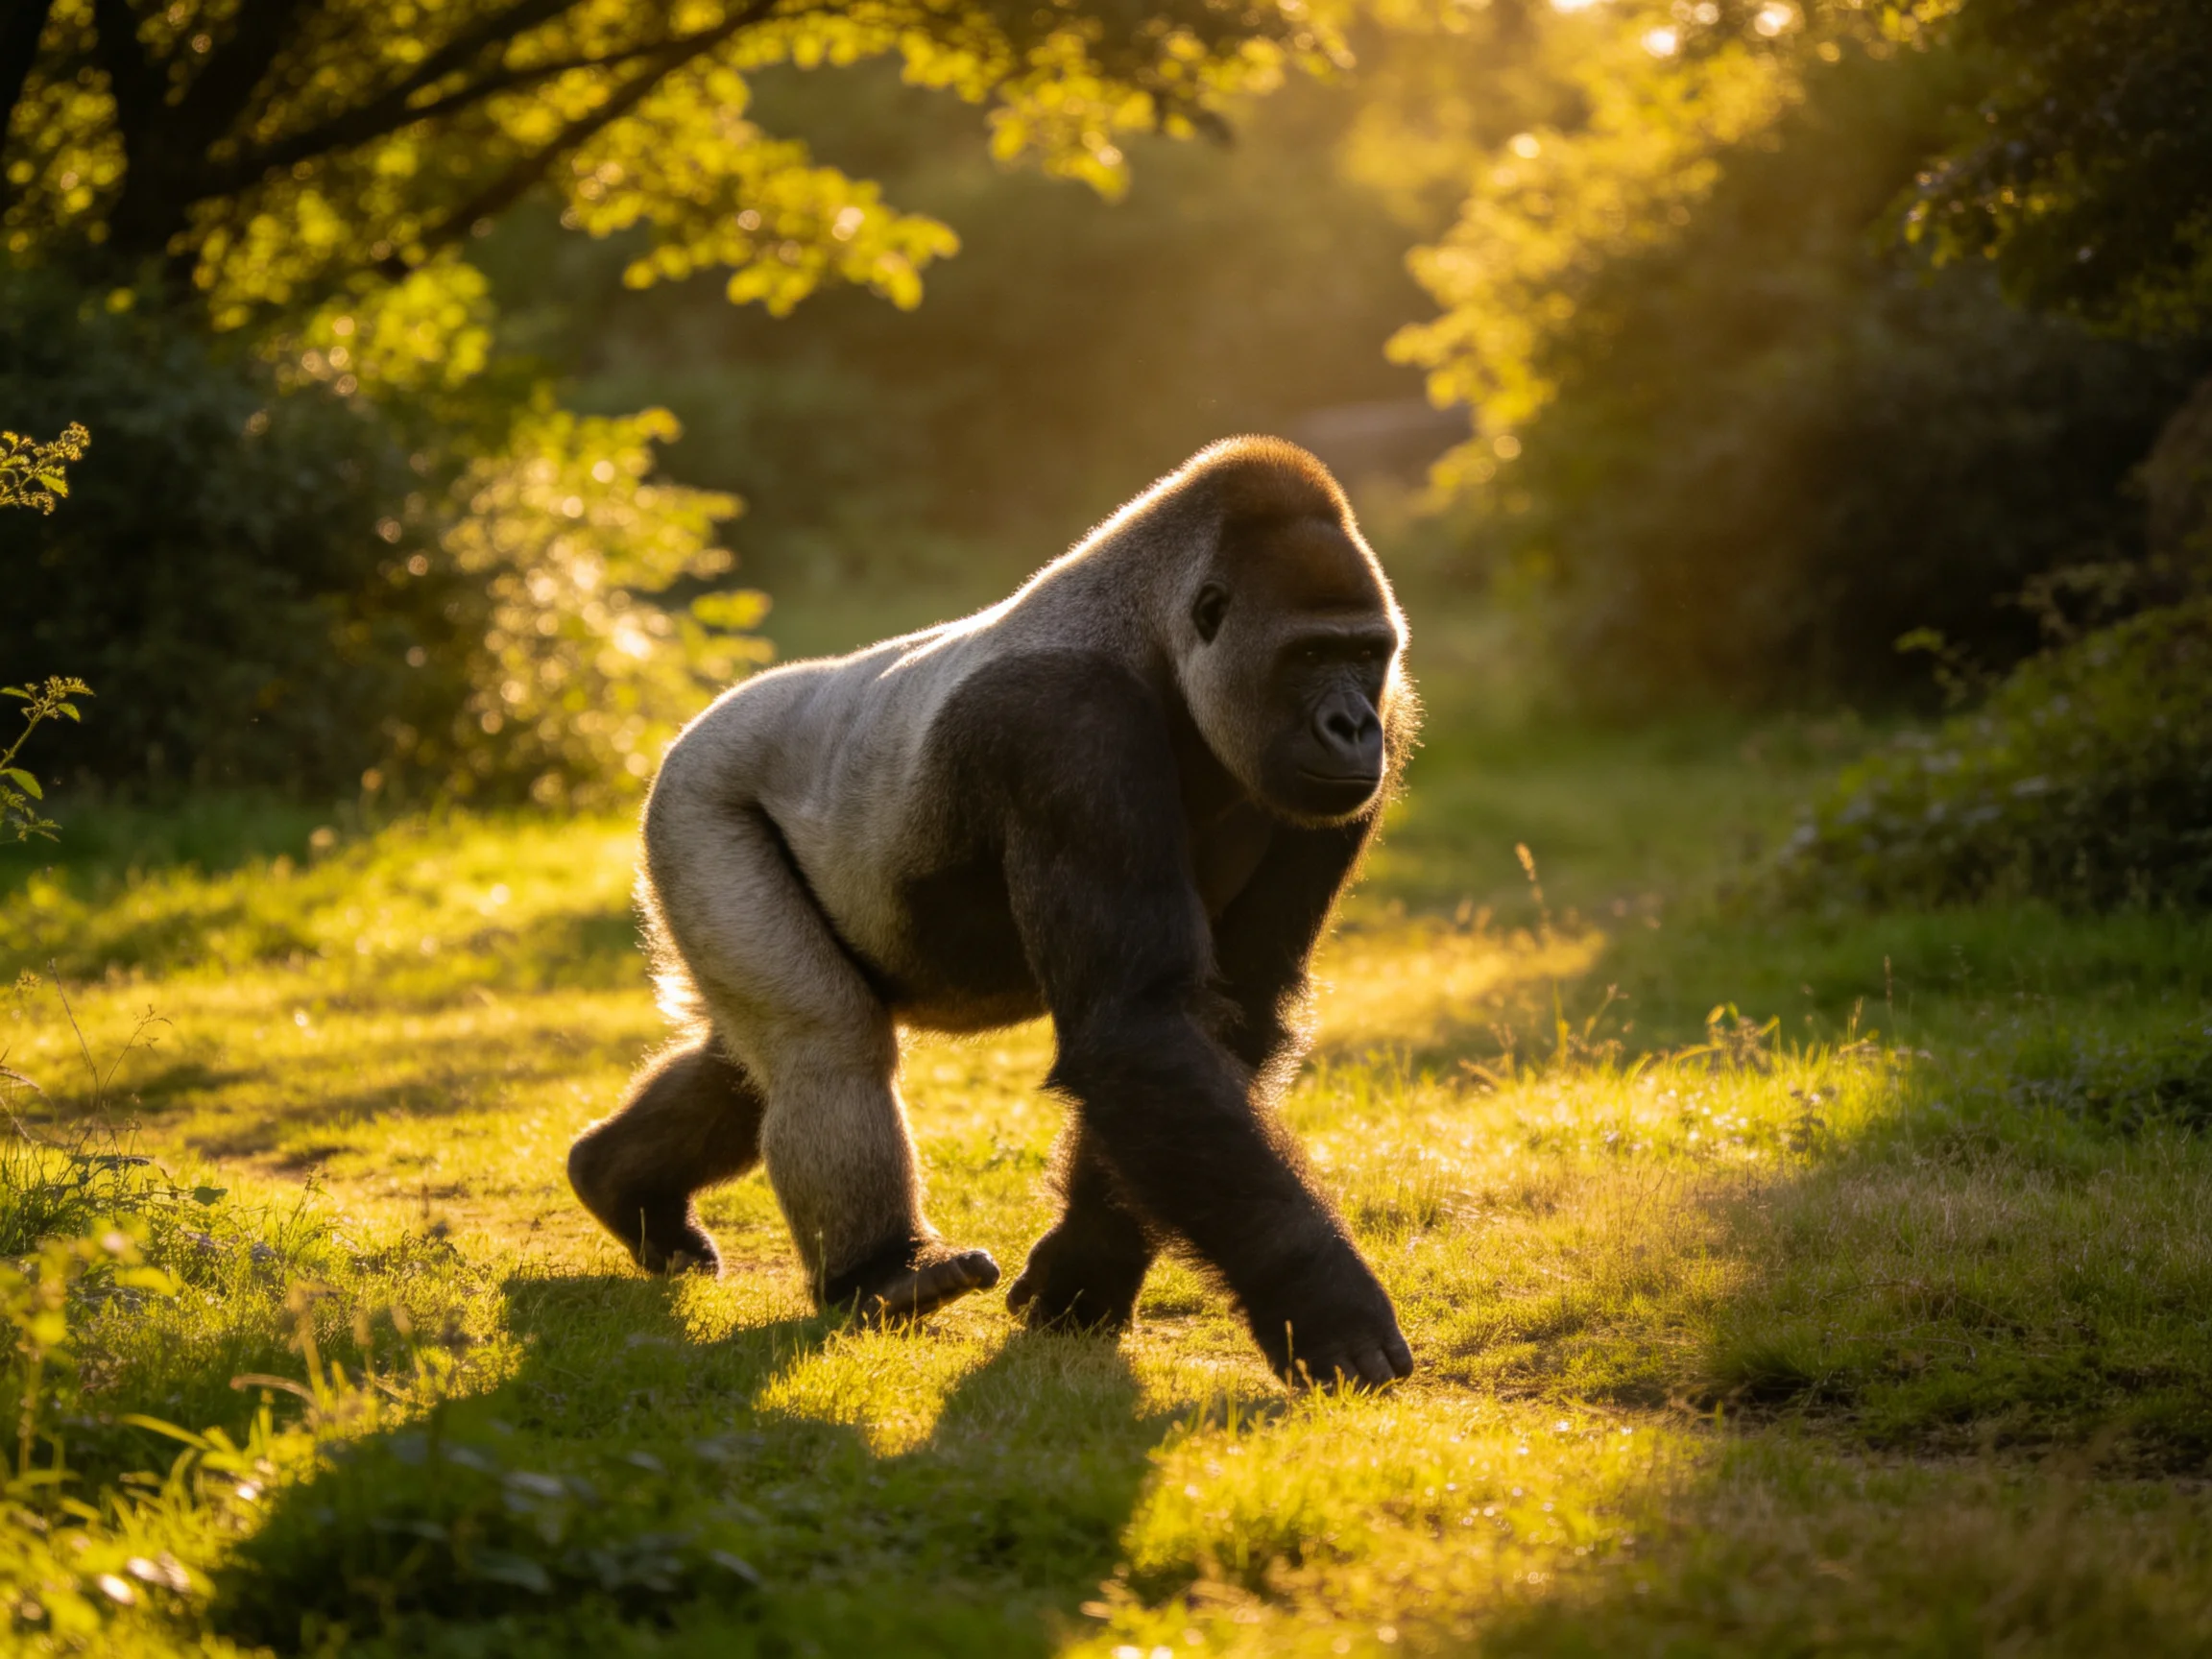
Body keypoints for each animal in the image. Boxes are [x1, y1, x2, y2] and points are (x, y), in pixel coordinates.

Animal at [567, 437, 1418, 1389]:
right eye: (1307, 657)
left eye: (1367, 654)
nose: (1351, 726)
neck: (1159, 645)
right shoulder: (1068, 728)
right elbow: (1141, 1031)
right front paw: (1323, 1299)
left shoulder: (1381, 737)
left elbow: (1223, 1021)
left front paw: (1084, 1269)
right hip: (695, 798)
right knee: (821, 1041)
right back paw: (883, 1271)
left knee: (744, 1060)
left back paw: (620, 1184)